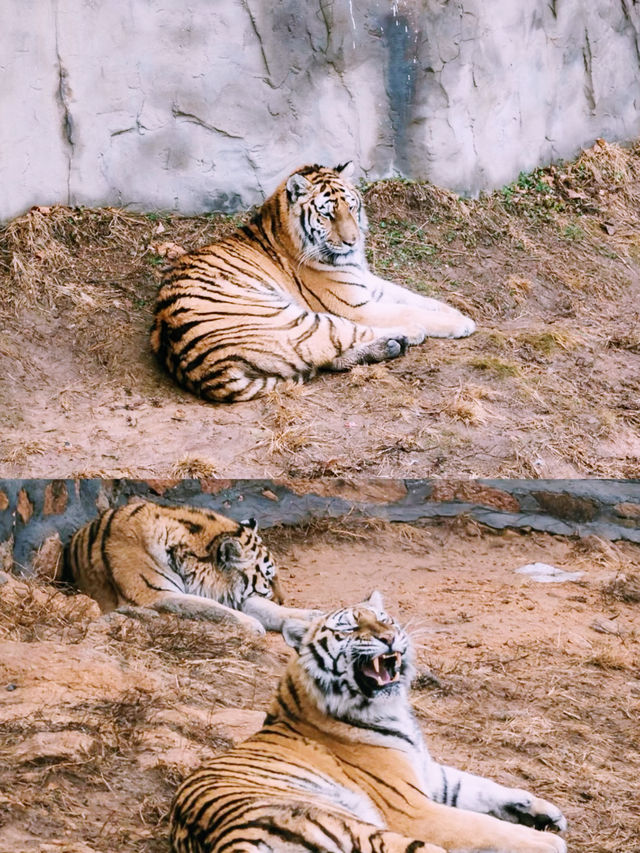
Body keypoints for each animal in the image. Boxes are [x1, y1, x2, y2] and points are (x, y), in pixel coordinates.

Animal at [62, 500, 318, 632]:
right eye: (268, 578)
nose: (283, 599)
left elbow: (268, 609)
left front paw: (311, 617)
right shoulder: (153, 595)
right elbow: (212, 608)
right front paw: (252, 625)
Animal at [152, 161, 476, 402]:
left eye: (351, 207)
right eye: (327, 214)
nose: (353, 241)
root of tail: (199, 369)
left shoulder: (369, 283)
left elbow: (418, 298)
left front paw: (456, 311)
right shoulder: (355, 305)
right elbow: (409, 309)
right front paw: (461, 323)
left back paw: (391, 346)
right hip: (297, 319)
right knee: (339, 340)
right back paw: (405, 336)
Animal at [169, 592, 564, 852]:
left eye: (385, 619)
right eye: (348, 630)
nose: (389, 637)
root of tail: (230, 844)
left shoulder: (430, 774)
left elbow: (485, 787)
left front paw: (547, 812)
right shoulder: (412, 808)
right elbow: (488, 827)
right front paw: (547, 841)